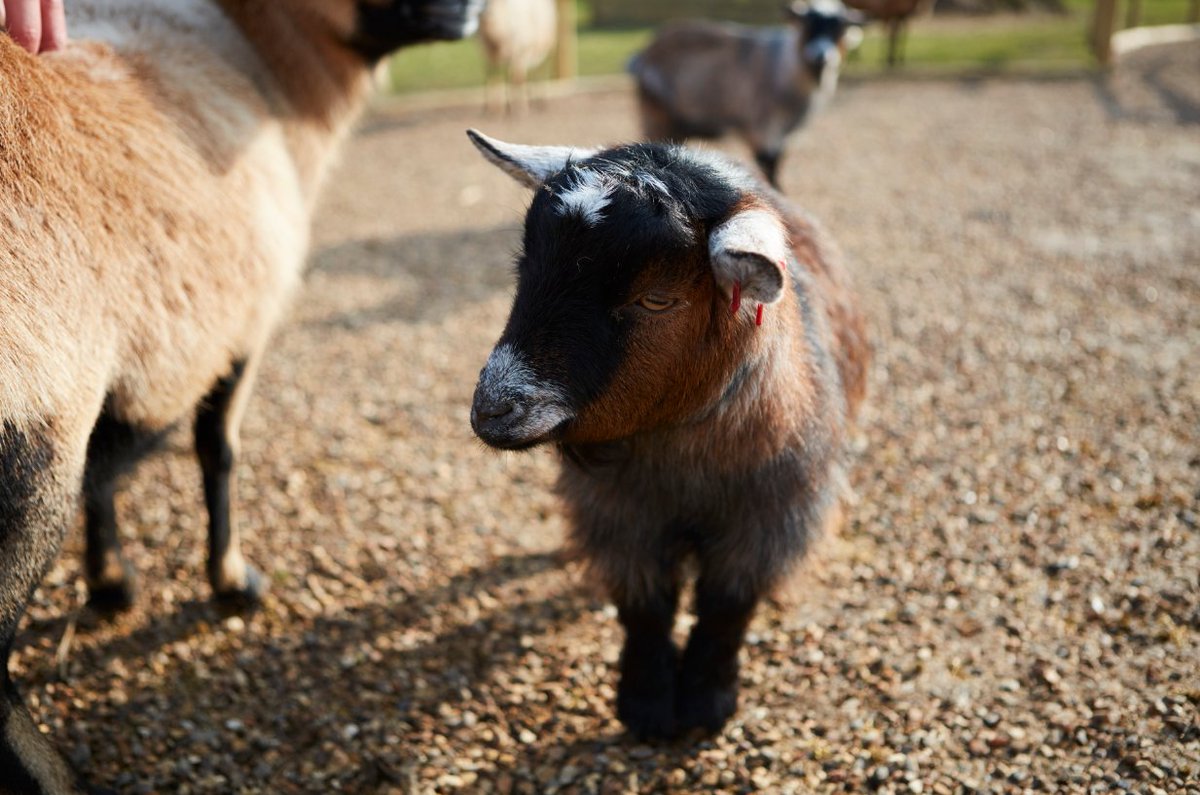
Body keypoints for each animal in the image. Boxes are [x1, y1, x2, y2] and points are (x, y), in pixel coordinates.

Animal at [0, 1, 481, 791]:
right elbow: (216, 451)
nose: (476, 13)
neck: (256, 56)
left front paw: (112, 583)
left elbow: (106, 477)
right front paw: (230, 581)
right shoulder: (240, 327)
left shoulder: (125, 362)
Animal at [467, 129, 869, 739]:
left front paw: (707, 703)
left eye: (657, 298)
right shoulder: (618, 517)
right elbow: (644, 610)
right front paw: (647, 706)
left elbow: (726, 610)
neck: (684, 473)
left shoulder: (769, 521)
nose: (492, 409)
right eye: (525, 269)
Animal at [628, 0, 863, 189]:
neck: (784, 66)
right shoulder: (762, 128)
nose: (821, 56)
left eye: (840, 27)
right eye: (807, 24)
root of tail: (643, 54)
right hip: (656, 114)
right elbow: (769, 168)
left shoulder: (783, 135)